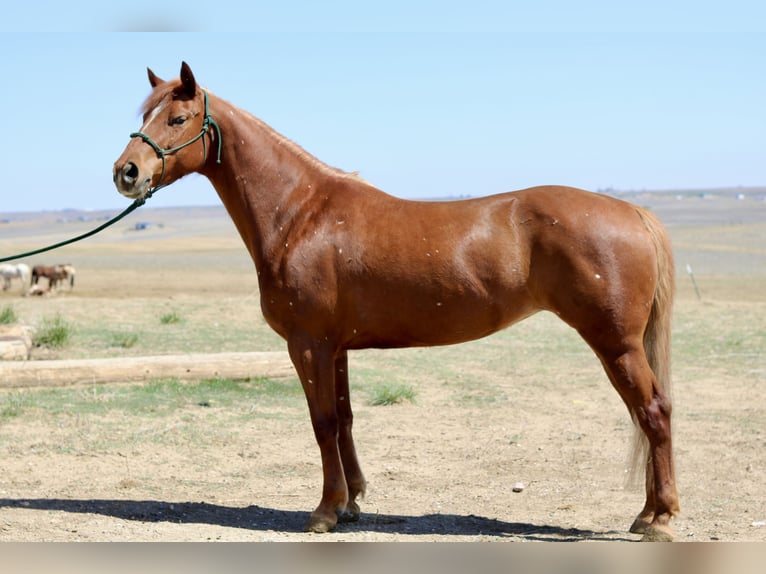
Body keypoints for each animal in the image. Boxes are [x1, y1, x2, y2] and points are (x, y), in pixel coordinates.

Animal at [113, 62, 679, 541]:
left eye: (178, 118)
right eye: (143, 116)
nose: (126, 172)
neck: (301, 214)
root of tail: (632, 211)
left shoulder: (308, 345)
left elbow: (322, 424)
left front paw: (324, 512)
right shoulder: (336, 348)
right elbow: (343, 420)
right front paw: (351, 503)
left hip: (616, 343)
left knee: (653, 411)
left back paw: (660, 518)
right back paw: (647, 513)